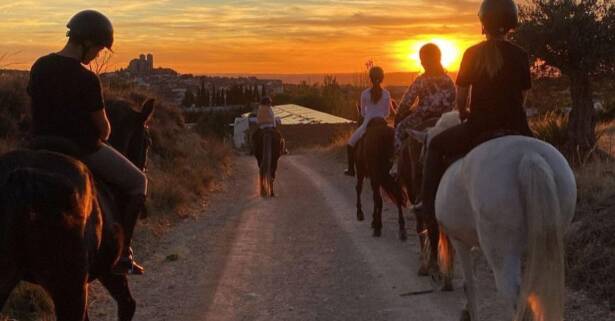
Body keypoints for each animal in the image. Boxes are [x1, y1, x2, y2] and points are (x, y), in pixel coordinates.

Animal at [414, 112, 576, 320]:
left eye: (426, 147)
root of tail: (529, 156)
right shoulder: (477, 241)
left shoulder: (460, 240)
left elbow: (470, 285)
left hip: (501, 251)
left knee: (517, 298)